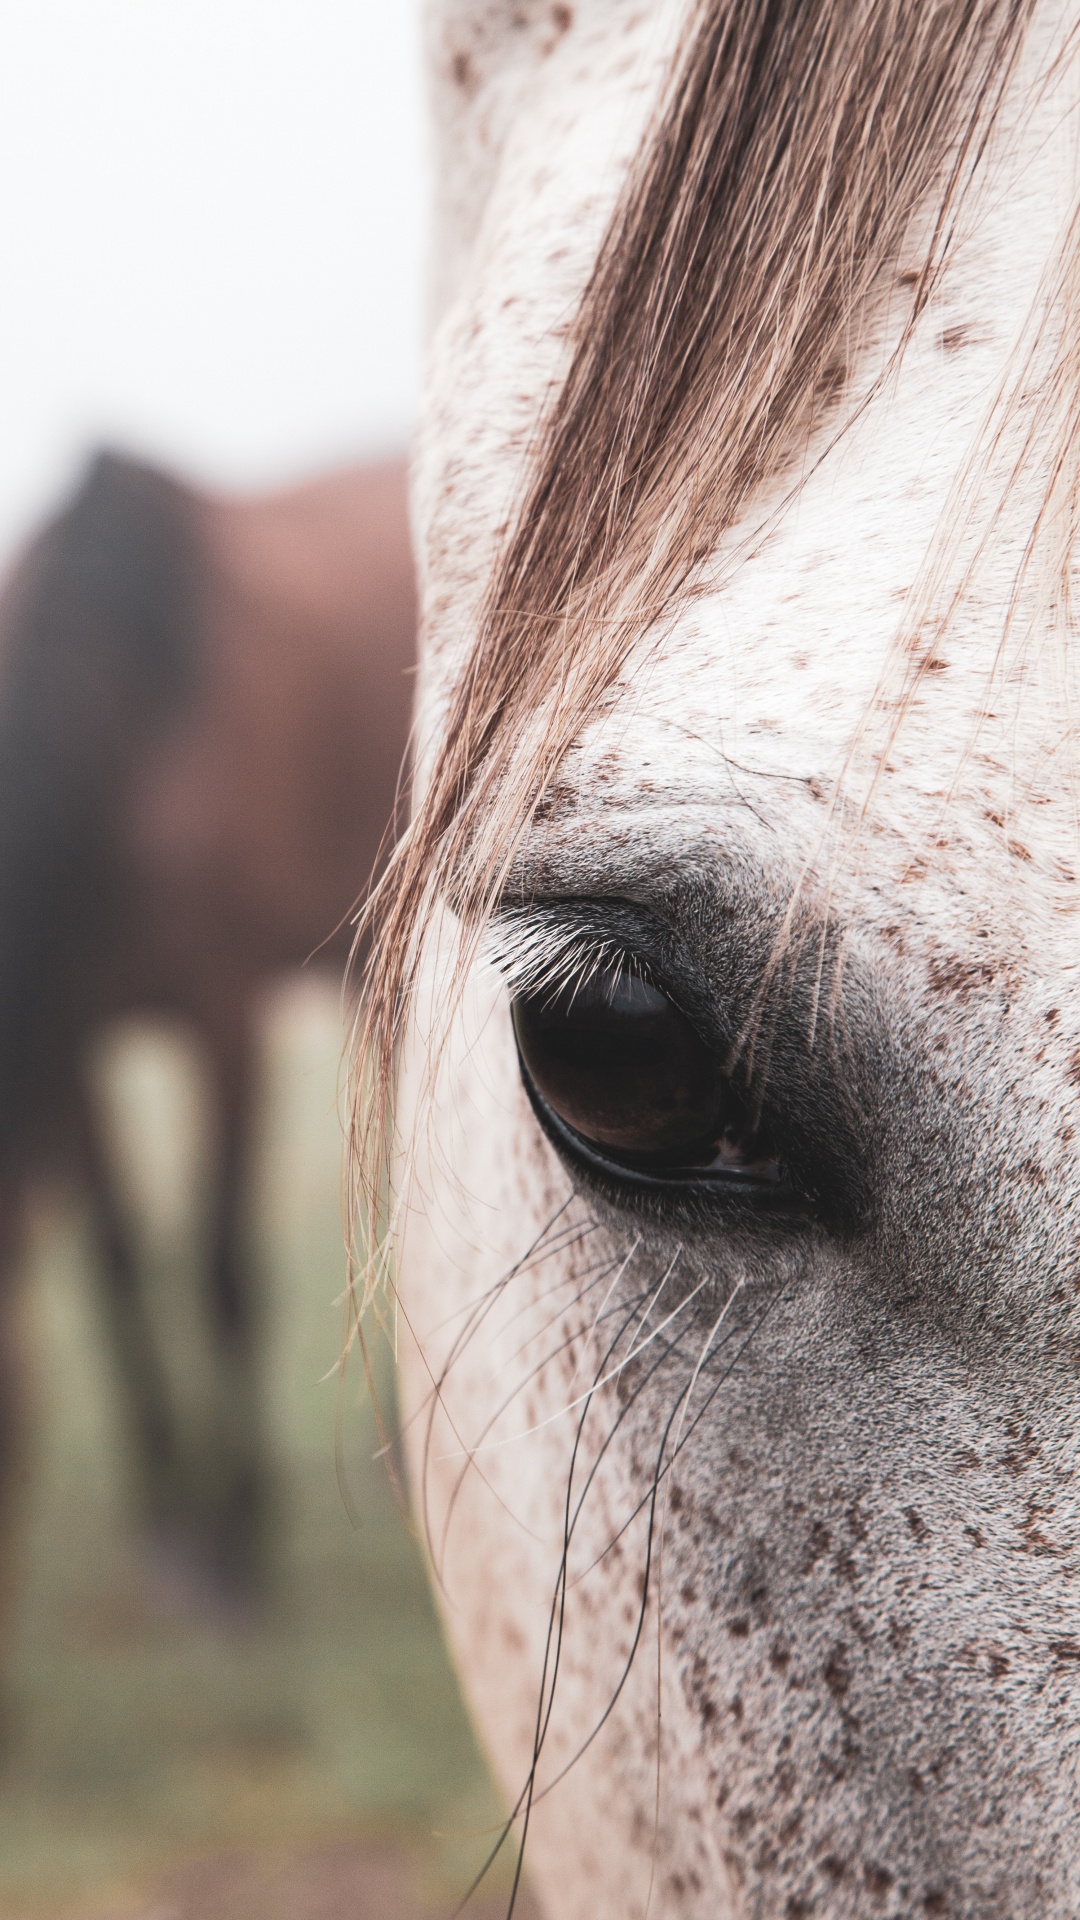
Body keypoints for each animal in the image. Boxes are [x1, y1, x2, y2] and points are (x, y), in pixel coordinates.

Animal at [0, 449, 414, 1615]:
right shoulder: (76, 1038)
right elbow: (117, 1264)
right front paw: (164, 1516)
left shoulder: (224, 1013)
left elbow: (223, 1263)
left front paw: (235, 1543)